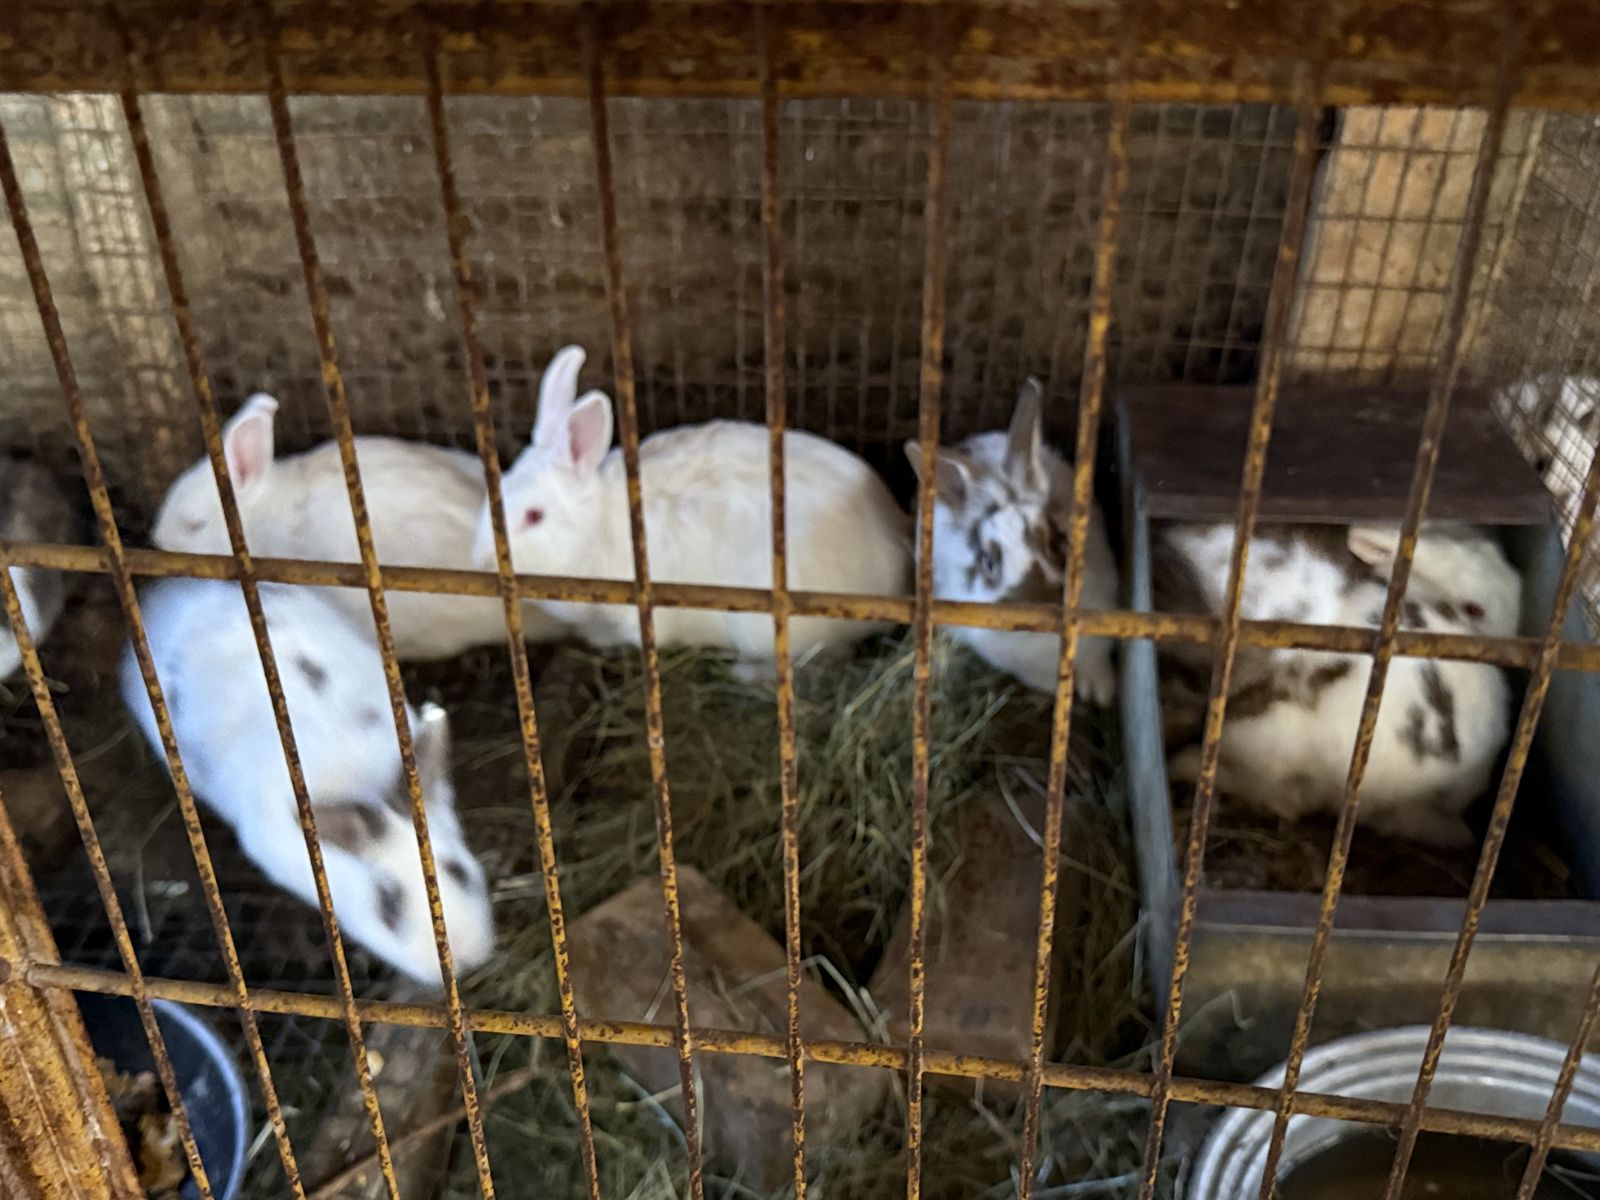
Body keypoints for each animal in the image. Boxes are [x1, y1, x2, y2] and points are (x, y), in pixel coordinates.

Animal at [903, 378, 1119, 704]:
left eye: (1054, 541)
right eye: (988, 562)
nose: (1043, 601)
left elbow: (1097, 661)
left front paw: (1101, 691)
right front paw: (1057, 688)